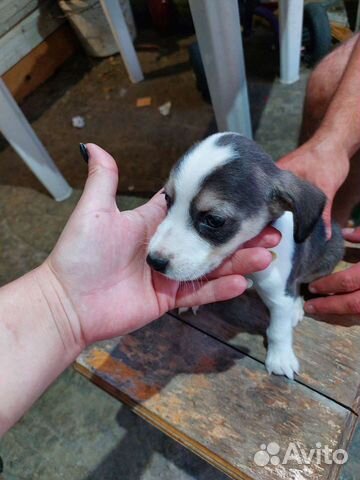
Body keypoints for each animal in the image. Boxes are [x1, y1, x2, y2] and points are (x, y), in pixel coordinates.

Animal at [146, 132, 344, 378]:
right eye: (167, 199)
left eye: (214, 220)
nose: (153, 261)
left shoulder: (278, 293)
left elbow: (278, 329)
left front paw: (280, 358)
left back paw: (297, 307)